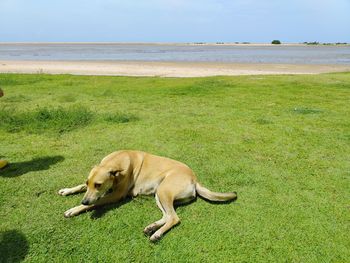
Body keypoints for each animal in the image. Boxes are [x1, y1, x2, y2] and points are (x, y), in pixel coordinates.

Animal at [58, 151, 238, 241]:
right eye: (89, 182)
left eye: (98, 185)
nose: (84, 200)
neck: (116, 162)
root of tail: (194, 178)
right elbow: (80, 187)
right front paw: (67, 190)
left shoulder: (116, 195)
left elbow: (96, 201)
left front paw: (75, 209)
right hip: (159, 194)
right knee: (168, 215)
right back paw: (152, 227)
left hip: (164, 191)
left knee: (174, 218)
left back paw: (156, 234)